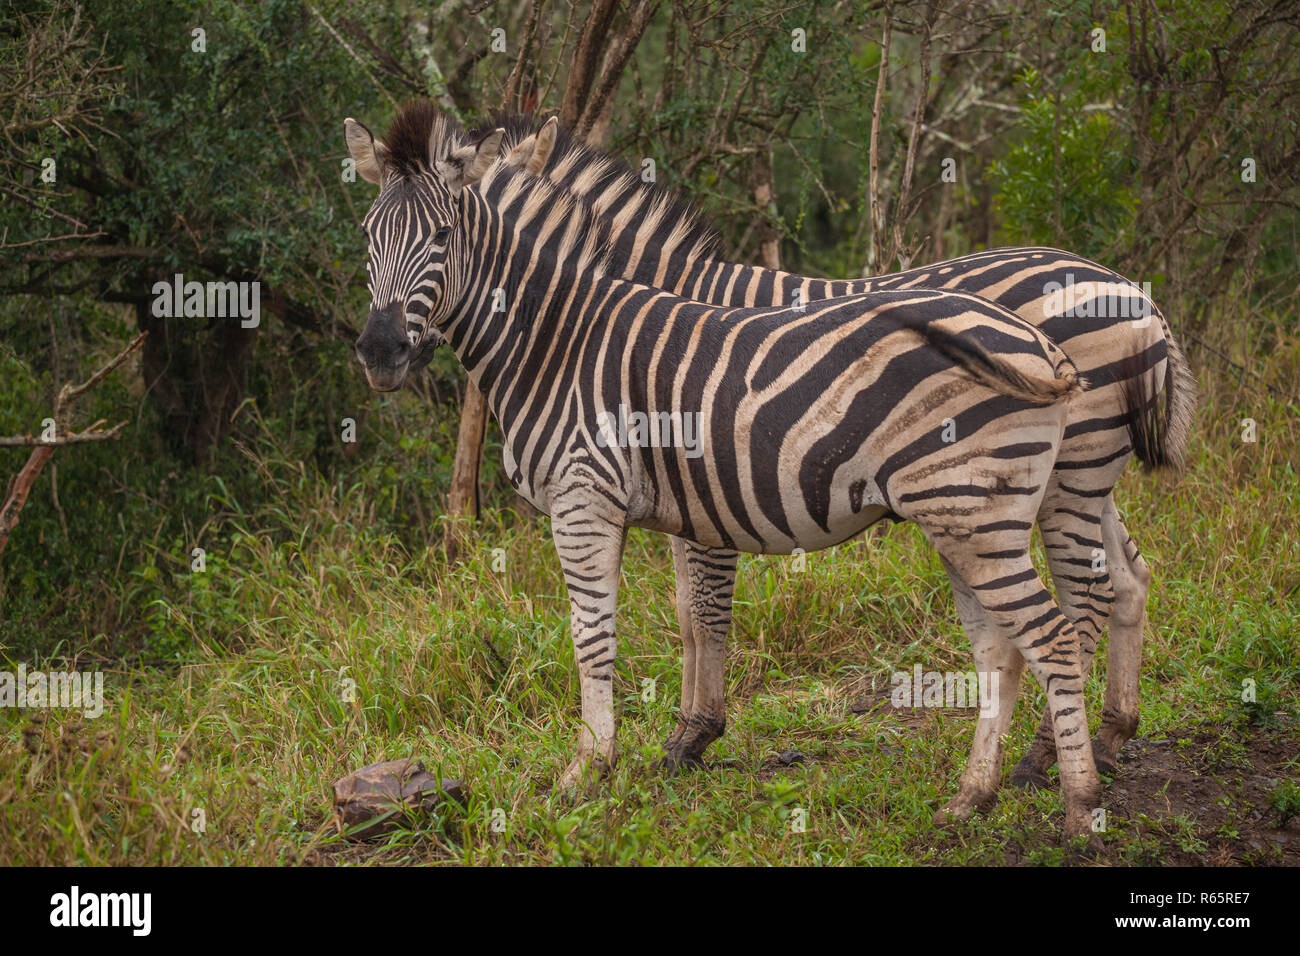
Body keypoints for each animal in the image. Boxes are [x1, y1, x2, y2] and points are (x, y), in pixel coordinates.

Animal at [341, 100, 1149, 841]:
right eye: (367, 237)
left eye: (442, 237)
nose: (379, 353)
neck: (562, 336)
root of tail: (1120, 293)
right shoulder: (683, 500)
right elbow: (687, 614)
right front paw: (679, 740)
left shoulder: (593, 497)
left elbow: (609, 630)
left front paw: (599, 765)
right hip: (1009, 500)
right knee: (1089, 600)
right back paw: (1027, 773)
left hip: (1030, 493)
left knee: (1063, 620)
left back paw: (1072, 794)